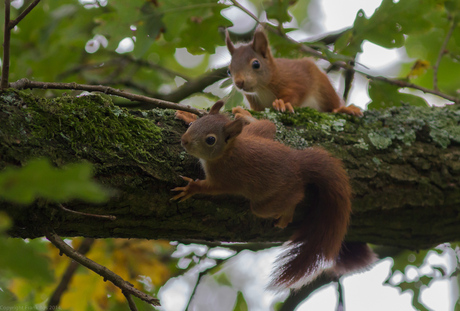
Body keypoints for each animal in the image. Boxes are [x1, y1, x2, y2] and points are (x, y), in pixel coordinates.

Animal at [171, 102, 376, 290]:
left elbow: (210, 188)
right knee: (268, 125)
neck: (229, 149)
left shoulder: (223, 178)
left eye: (210, 140)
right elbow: (268, 124)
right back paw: (244, 115)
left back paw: (287, 214)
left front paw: (191, 188)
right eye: (196, 124)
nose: (184, 141)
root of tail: (298, 164)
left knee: (292, 197)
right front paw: (187, 115)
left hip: (269, 201)